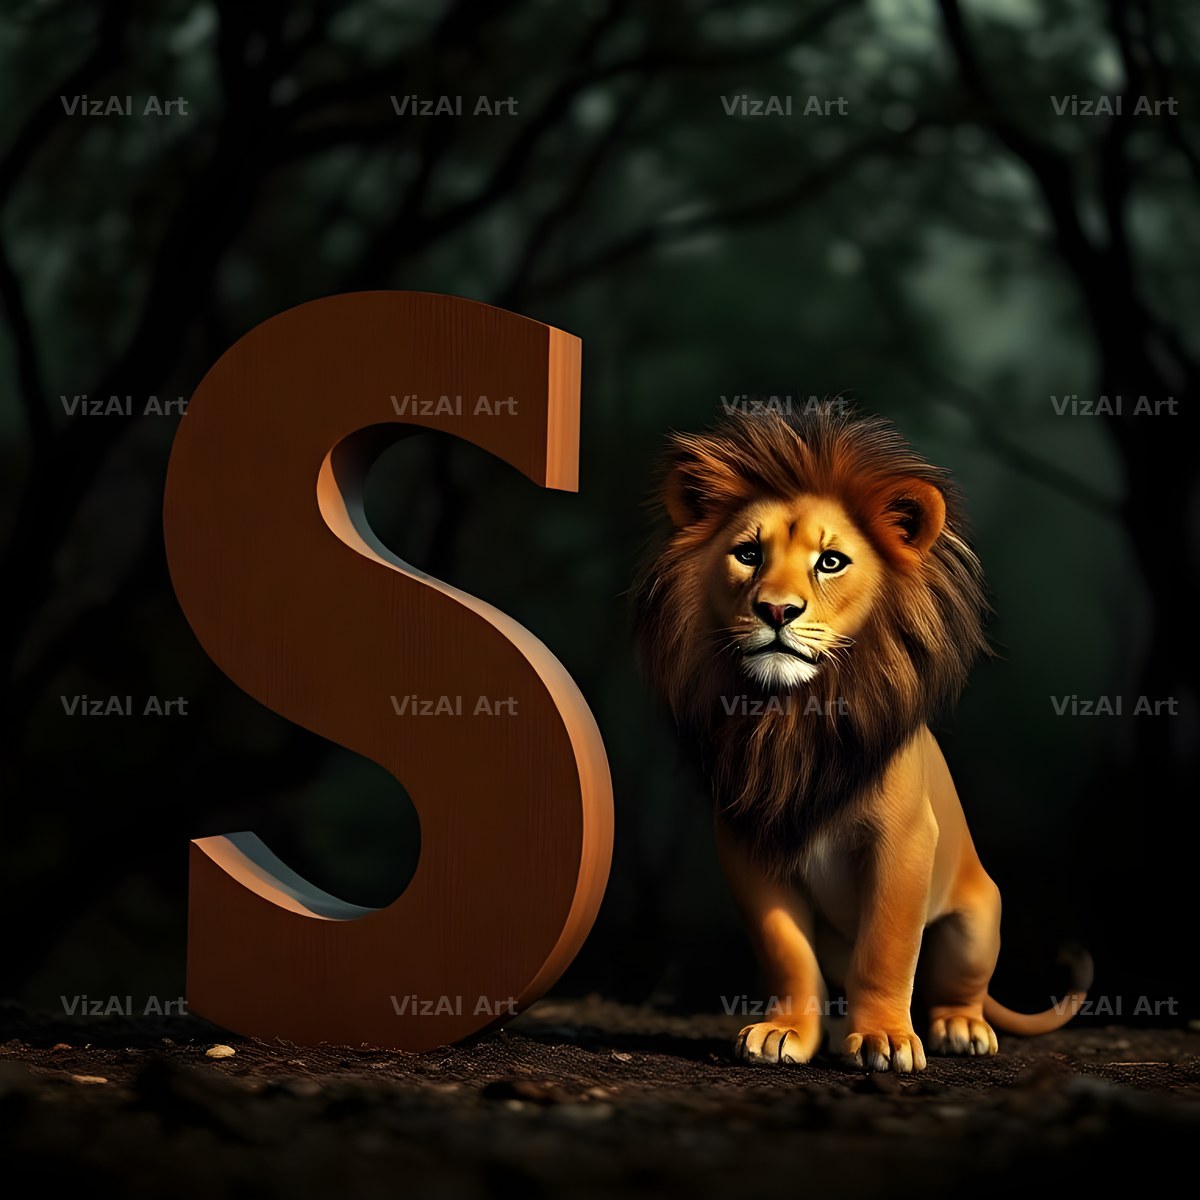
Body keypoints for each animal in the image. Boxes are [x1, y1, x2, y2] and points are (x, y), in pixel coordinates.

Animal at [632, 402, 1090, 1073]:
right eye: (748, 554)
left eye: (830, 562)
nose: (775, 611)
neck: (792, 714)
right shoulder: (748, 845)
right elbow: (787, 953)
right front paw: (785, 1032)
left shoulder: (903, 842)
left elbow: (886, 951)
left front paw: (885, 1040)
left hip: (977, 921)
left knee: (958, 985)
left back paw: (959, 1027)